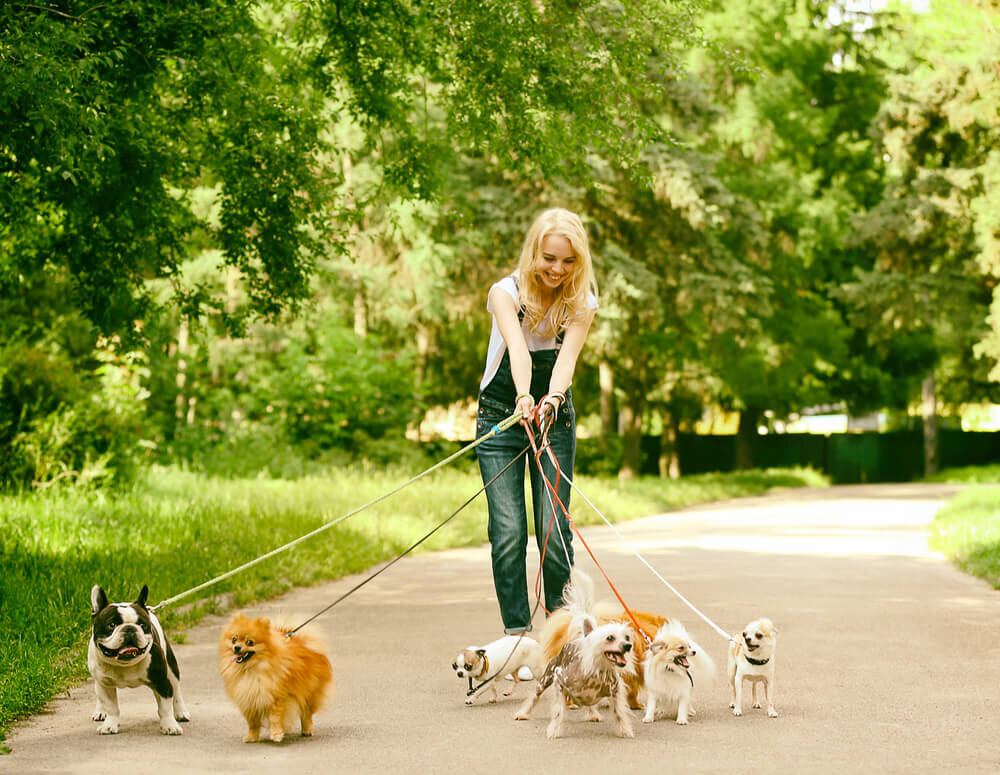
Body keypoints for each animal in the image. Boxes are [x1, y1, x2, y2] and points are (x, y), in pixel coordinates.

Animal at [218, 612, 334, 744]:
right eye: (234, 639)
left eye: (250, 642)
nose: (237, 647)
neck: (251, 670)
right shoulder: (249, 699)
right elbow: (252, 723)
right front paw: (252, 737)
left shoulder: (276, 697)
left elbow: (275, 718)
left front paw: (276, 734)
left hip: (309, 693)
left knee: (306, 713)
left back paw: (306, 730)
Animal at [516, 568, 632, 740]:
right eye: (610, 637)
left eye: (627, 637)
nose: (628, 646)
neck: (597, 671)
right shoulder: (558, 679)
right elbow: (558, 711)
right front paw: (554, 730)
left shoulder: (616, 692)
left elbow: (619, 713)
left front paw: (624, 730)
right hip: (546, 677)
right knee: (535, 696)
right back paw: (523, 713)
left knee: (589, 704)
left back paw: (592, 713)